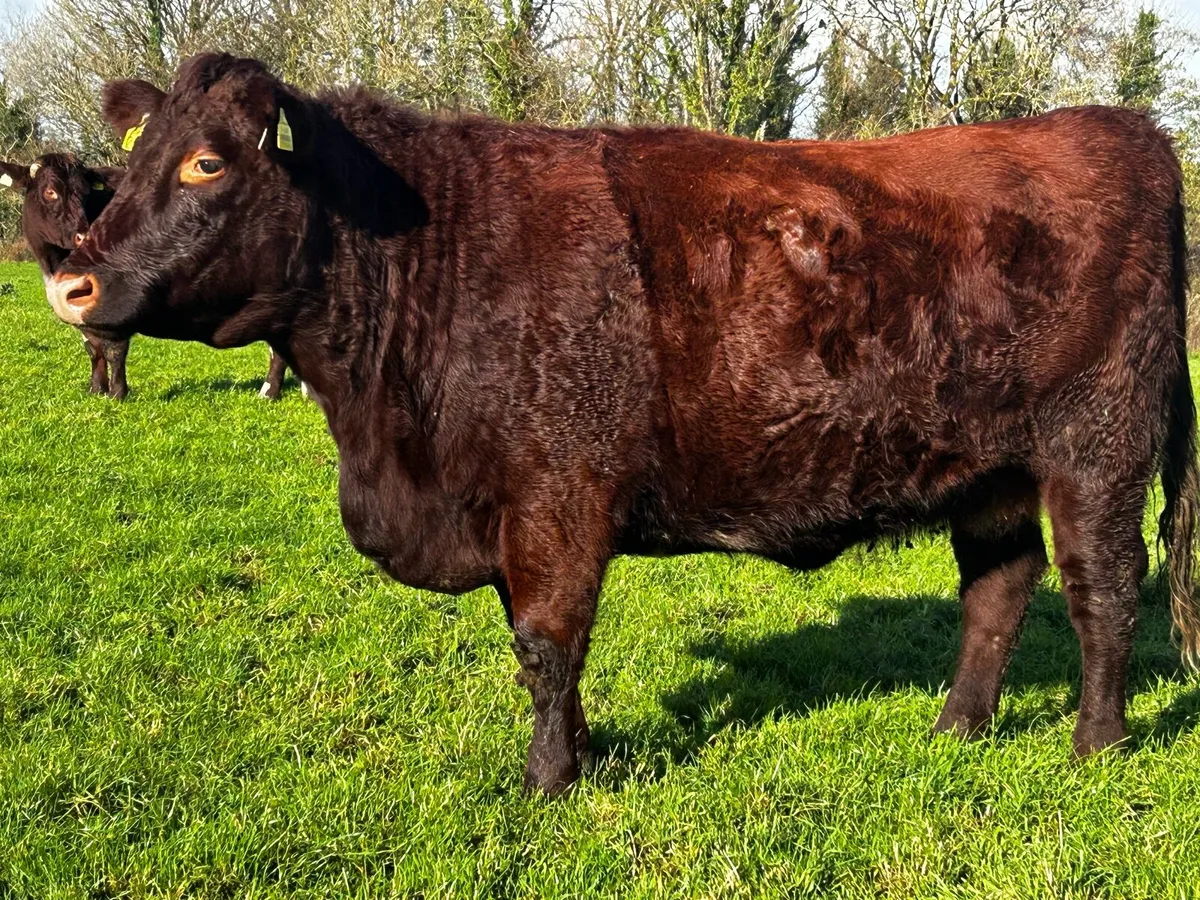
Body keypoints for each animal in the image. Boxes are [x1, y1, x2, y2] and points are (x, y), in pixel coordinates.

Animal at [1, 153, 295, 400]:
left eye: (86, 192)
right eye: (50, 192)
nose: (84, 234)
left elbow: (114, 350)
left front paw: (117, 394)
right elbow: (92, 348)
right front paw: (96, 389)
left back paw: (268, 392)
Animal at [47, 53, 1200, 795]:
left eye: (207, 163)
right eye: (134, 160)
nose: (70, 280)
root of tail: (1120, 128)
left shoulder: (558, 500)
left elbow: (549, 641)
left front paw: (550, 782)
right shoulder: (508, 510)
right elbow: (538, 650)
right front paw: (585, 754)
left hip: (1096, 450)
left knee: (1102, 590)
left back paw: (1097, 747)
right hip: (989, 469)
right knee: (999, 589)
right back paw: (957, 728)